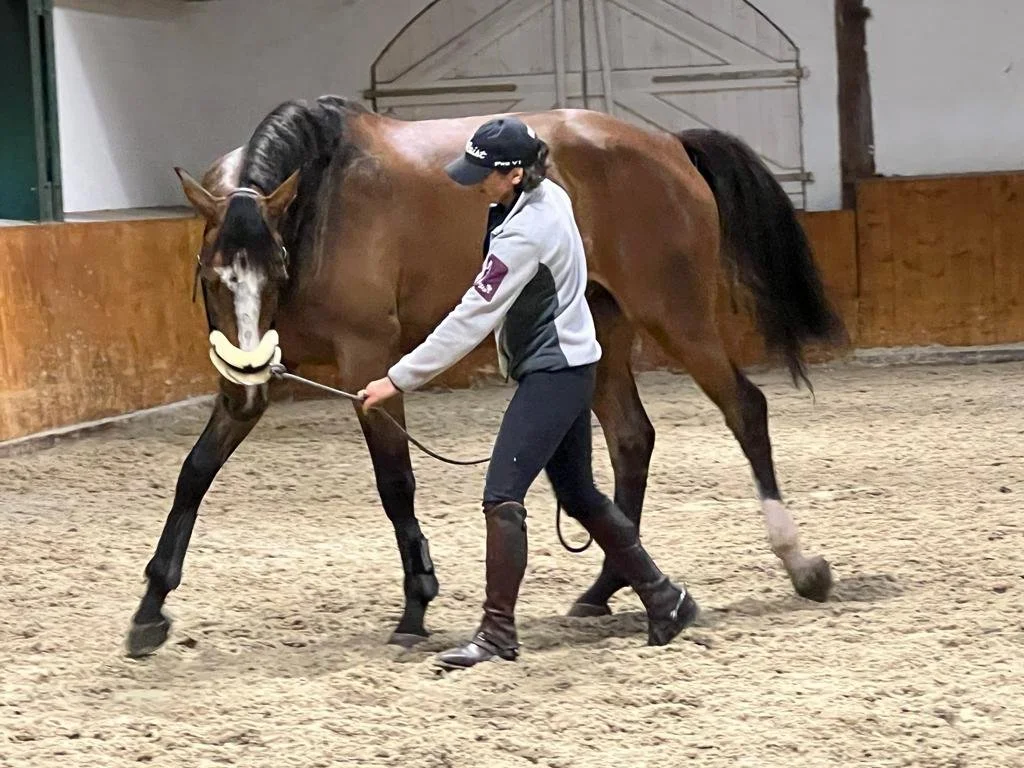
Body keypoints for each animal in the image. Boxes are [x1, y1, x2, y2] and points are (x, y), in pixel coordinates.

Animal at [125, 94, 846, 657]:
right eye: (212, 277)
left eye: (275, 269)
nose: (246, 379)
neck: (321, 204)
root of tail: (670, 145)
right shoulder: (257, 378)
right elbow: (195, 472)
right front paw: (149, 610)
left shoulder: (367, 361)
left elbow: (396, 483)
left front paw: (416, 607)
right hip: (601, 329)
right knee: (630, 440)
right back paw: (604, 590)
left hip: (677, 316)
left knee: (744, 409)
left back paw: (800, 564)